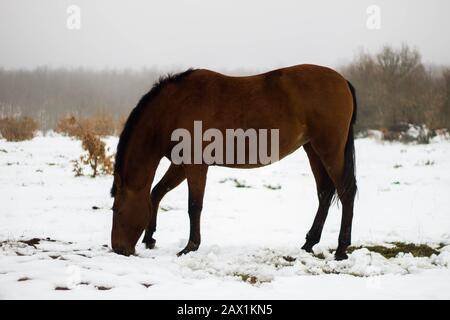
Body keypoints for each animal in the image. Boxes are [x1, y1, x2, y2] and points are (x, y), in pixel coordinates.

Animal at [110, 64, 356, 260]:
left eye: (118, 211)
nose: (118, 249)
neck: (174, 108)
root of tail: (342, 80)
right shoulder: (179, 165)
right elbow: (157, 193)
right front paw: (150, 238)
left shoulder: (194, 165)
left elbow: (194, 205)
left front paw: (190, 247)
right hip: (313, 149)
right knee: (324, 193)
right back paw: (309, 243)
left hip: (330, 150)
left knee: (346, 191)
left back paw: (341, 249)